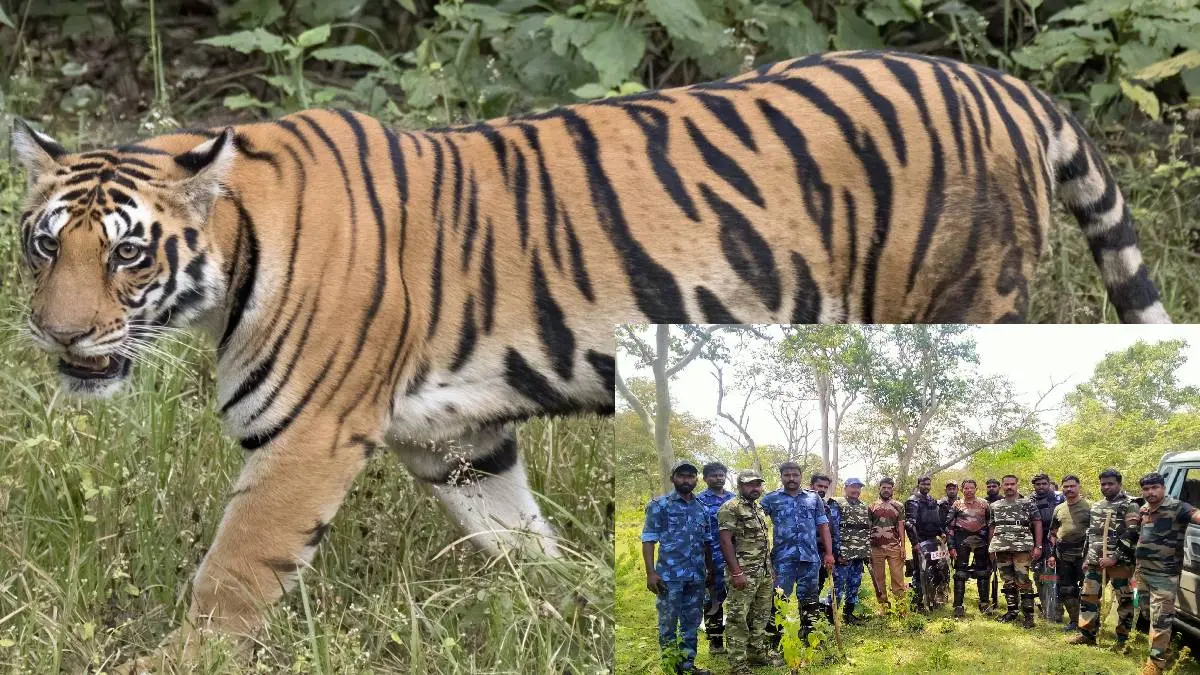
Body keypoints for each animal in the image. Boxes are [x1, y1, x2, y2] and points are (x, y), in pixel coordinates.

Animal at [9, 48, 1169, 667]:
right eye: (42, 242)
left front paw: (168, 665)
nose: (58, 337)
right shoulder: (458, 439)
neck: (233, 257)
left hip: (965, 292)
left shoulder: (303, 440)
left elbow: (232, 575)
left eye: (128, 253)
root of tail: (1006, 85)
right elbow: (520, 541)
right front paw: (568, 608)